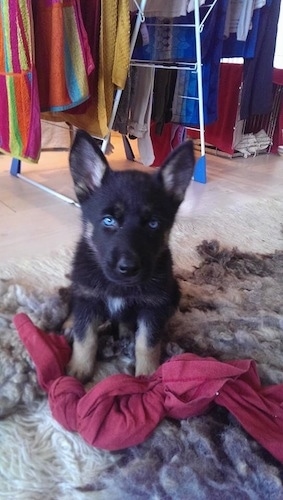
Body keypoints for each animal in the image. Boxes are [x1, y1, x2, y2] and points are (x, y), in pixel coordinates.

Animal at [67, 131, 195, 380]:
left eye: (153, 224)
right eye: (109, 220)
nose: (128, 268)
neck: (119, 288)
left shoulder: (152, 307)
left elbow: (147, 343)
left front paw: (147, 376)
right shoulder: (88, 299)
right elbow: (84, 338)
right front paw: (78, 371)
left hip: (173, 290)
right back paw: (69, 323)